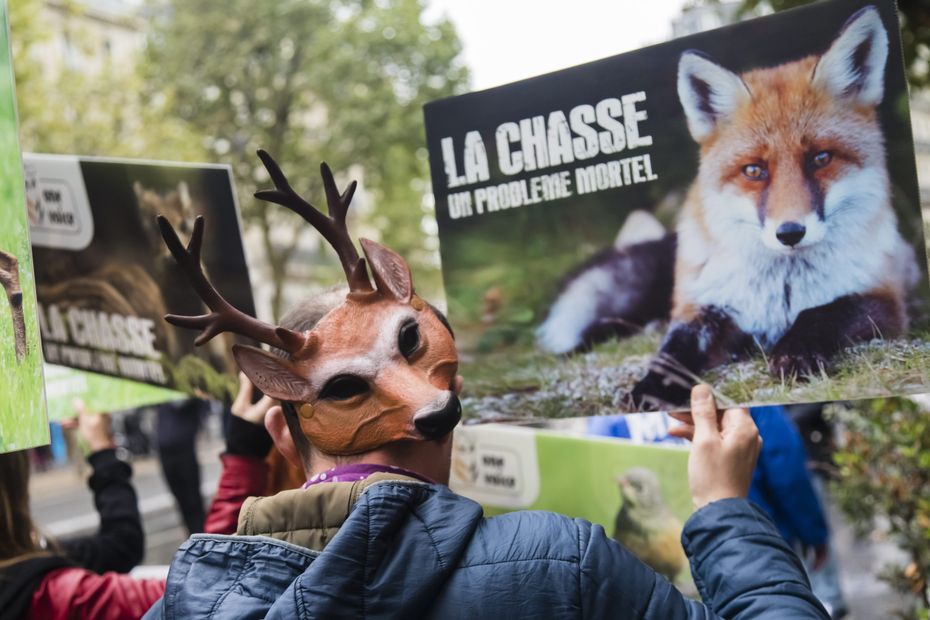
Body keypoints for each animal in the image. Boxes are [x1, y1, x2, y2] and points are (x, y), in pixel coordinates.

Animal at [532, 7, 916, 412]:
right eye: (754, 171)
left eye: (821, 158)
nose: (790, 233)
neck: (782, 286)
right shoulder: (703, 309)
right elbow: (671, 353)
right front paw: (647, 388)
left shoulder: (883, 299)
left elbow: (822, 312)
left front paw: (795, 352)